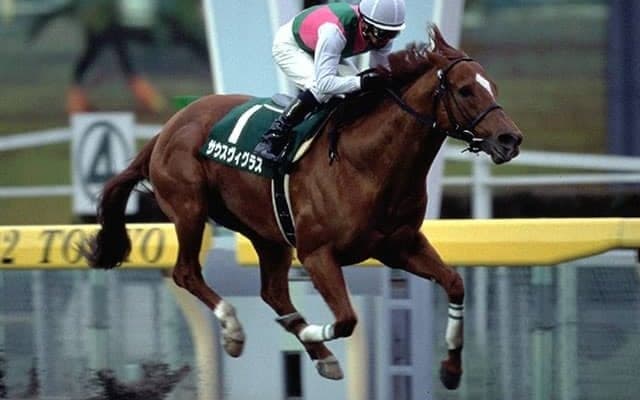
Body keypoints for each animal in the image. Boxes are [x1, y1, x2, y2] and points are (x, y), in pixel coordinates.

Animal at [85, 25, 523, 390]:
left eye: (493, 86)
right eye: (465, 90)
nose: (510, 139)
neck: (367, 162)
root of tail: (167, 129)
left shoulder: (399, 245)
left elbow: (455, 283)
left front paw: (451, 369)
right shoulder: (317, 254)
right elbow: (346, 319)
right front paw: (310, 333)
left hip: (267, 233)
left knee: (273, 292)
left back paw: (316, 353)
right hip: (190, 209)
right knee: (186, 272)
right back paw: (235, 331)